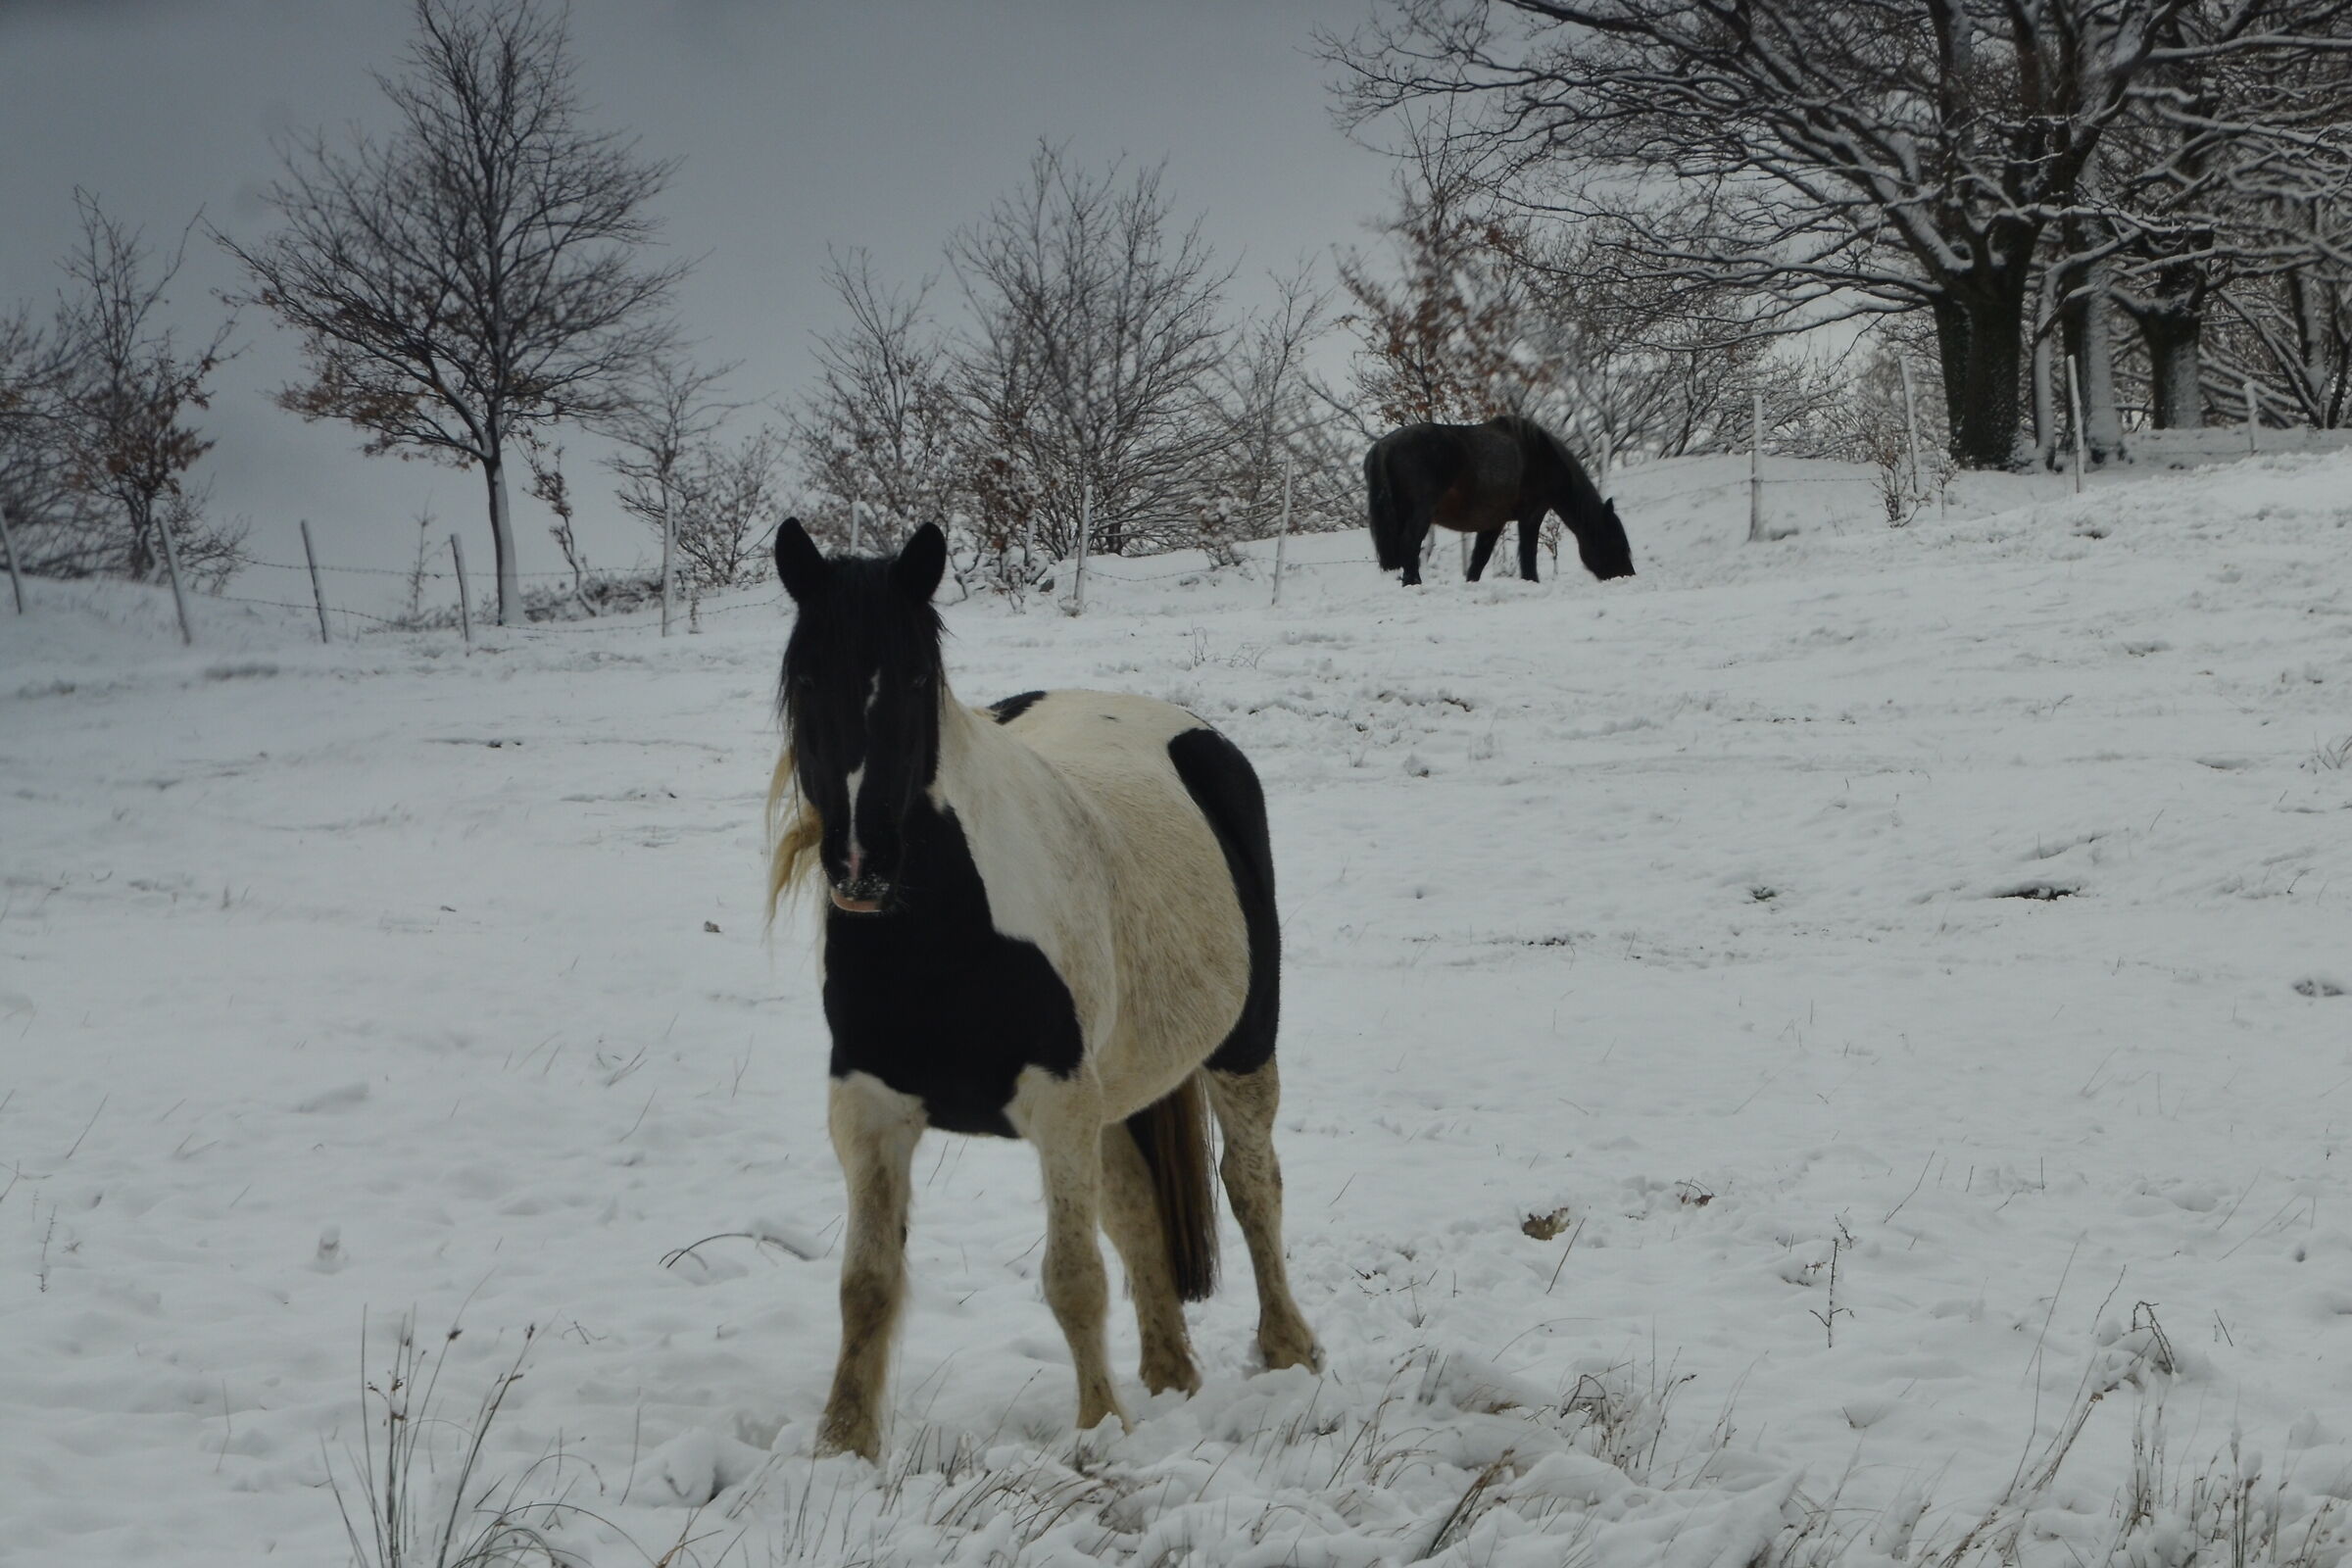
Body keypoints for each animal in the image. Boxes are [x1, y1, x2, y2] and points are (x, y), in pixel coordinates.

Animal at [765, 518, 1321, 1461]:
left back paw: (1288, 1352)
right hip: (1116, 1092)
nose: (860, 866)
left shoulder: (1057, 1102)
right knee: (1137, 1209)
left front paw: (1098, 1432)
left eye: (915, 680)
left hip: (1242, 1044)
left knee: (1252, 1185)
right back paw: (1168, 1376)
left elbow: (1073, 1277)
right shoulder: (869, 1110)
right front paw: (842, 1447)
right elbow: (866, 1284)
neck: (945, 935)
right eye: (806, 678)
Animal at [1364, 414, 1636, 586]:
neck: (1541, 455)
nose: (1627, 575)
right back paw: (1414, 584)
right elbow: (1527, 556)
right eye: (1617, 543)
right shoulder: (1531, 514)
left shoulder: (1493, 523)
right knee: (1410, 545)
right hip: (1421, 512)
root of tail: (1383, 446)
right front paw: (1531, 582)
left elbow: (1479, 561)